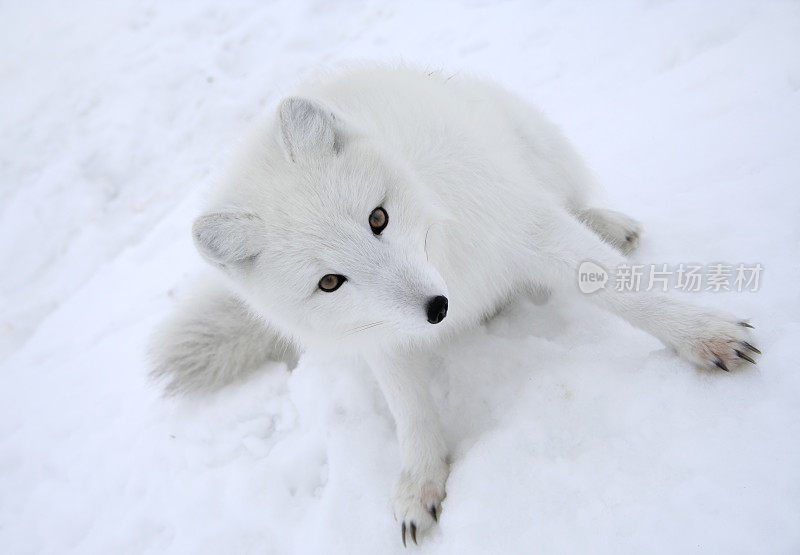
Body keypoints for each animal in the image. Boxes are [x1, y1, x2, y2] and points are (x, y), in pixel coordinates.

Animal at [148, 65, 756, 548]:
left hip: (533, 143)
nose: (437, 308)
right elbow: (410, 411)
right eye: (329, 282)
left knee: (573, 202)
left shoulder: (520, 222)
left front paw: (704, 335)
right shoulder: (381, 333)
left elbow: (619, 287)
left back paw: (608, 224)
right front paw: (421, 482)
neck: (444, 254)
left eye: (378, 218)